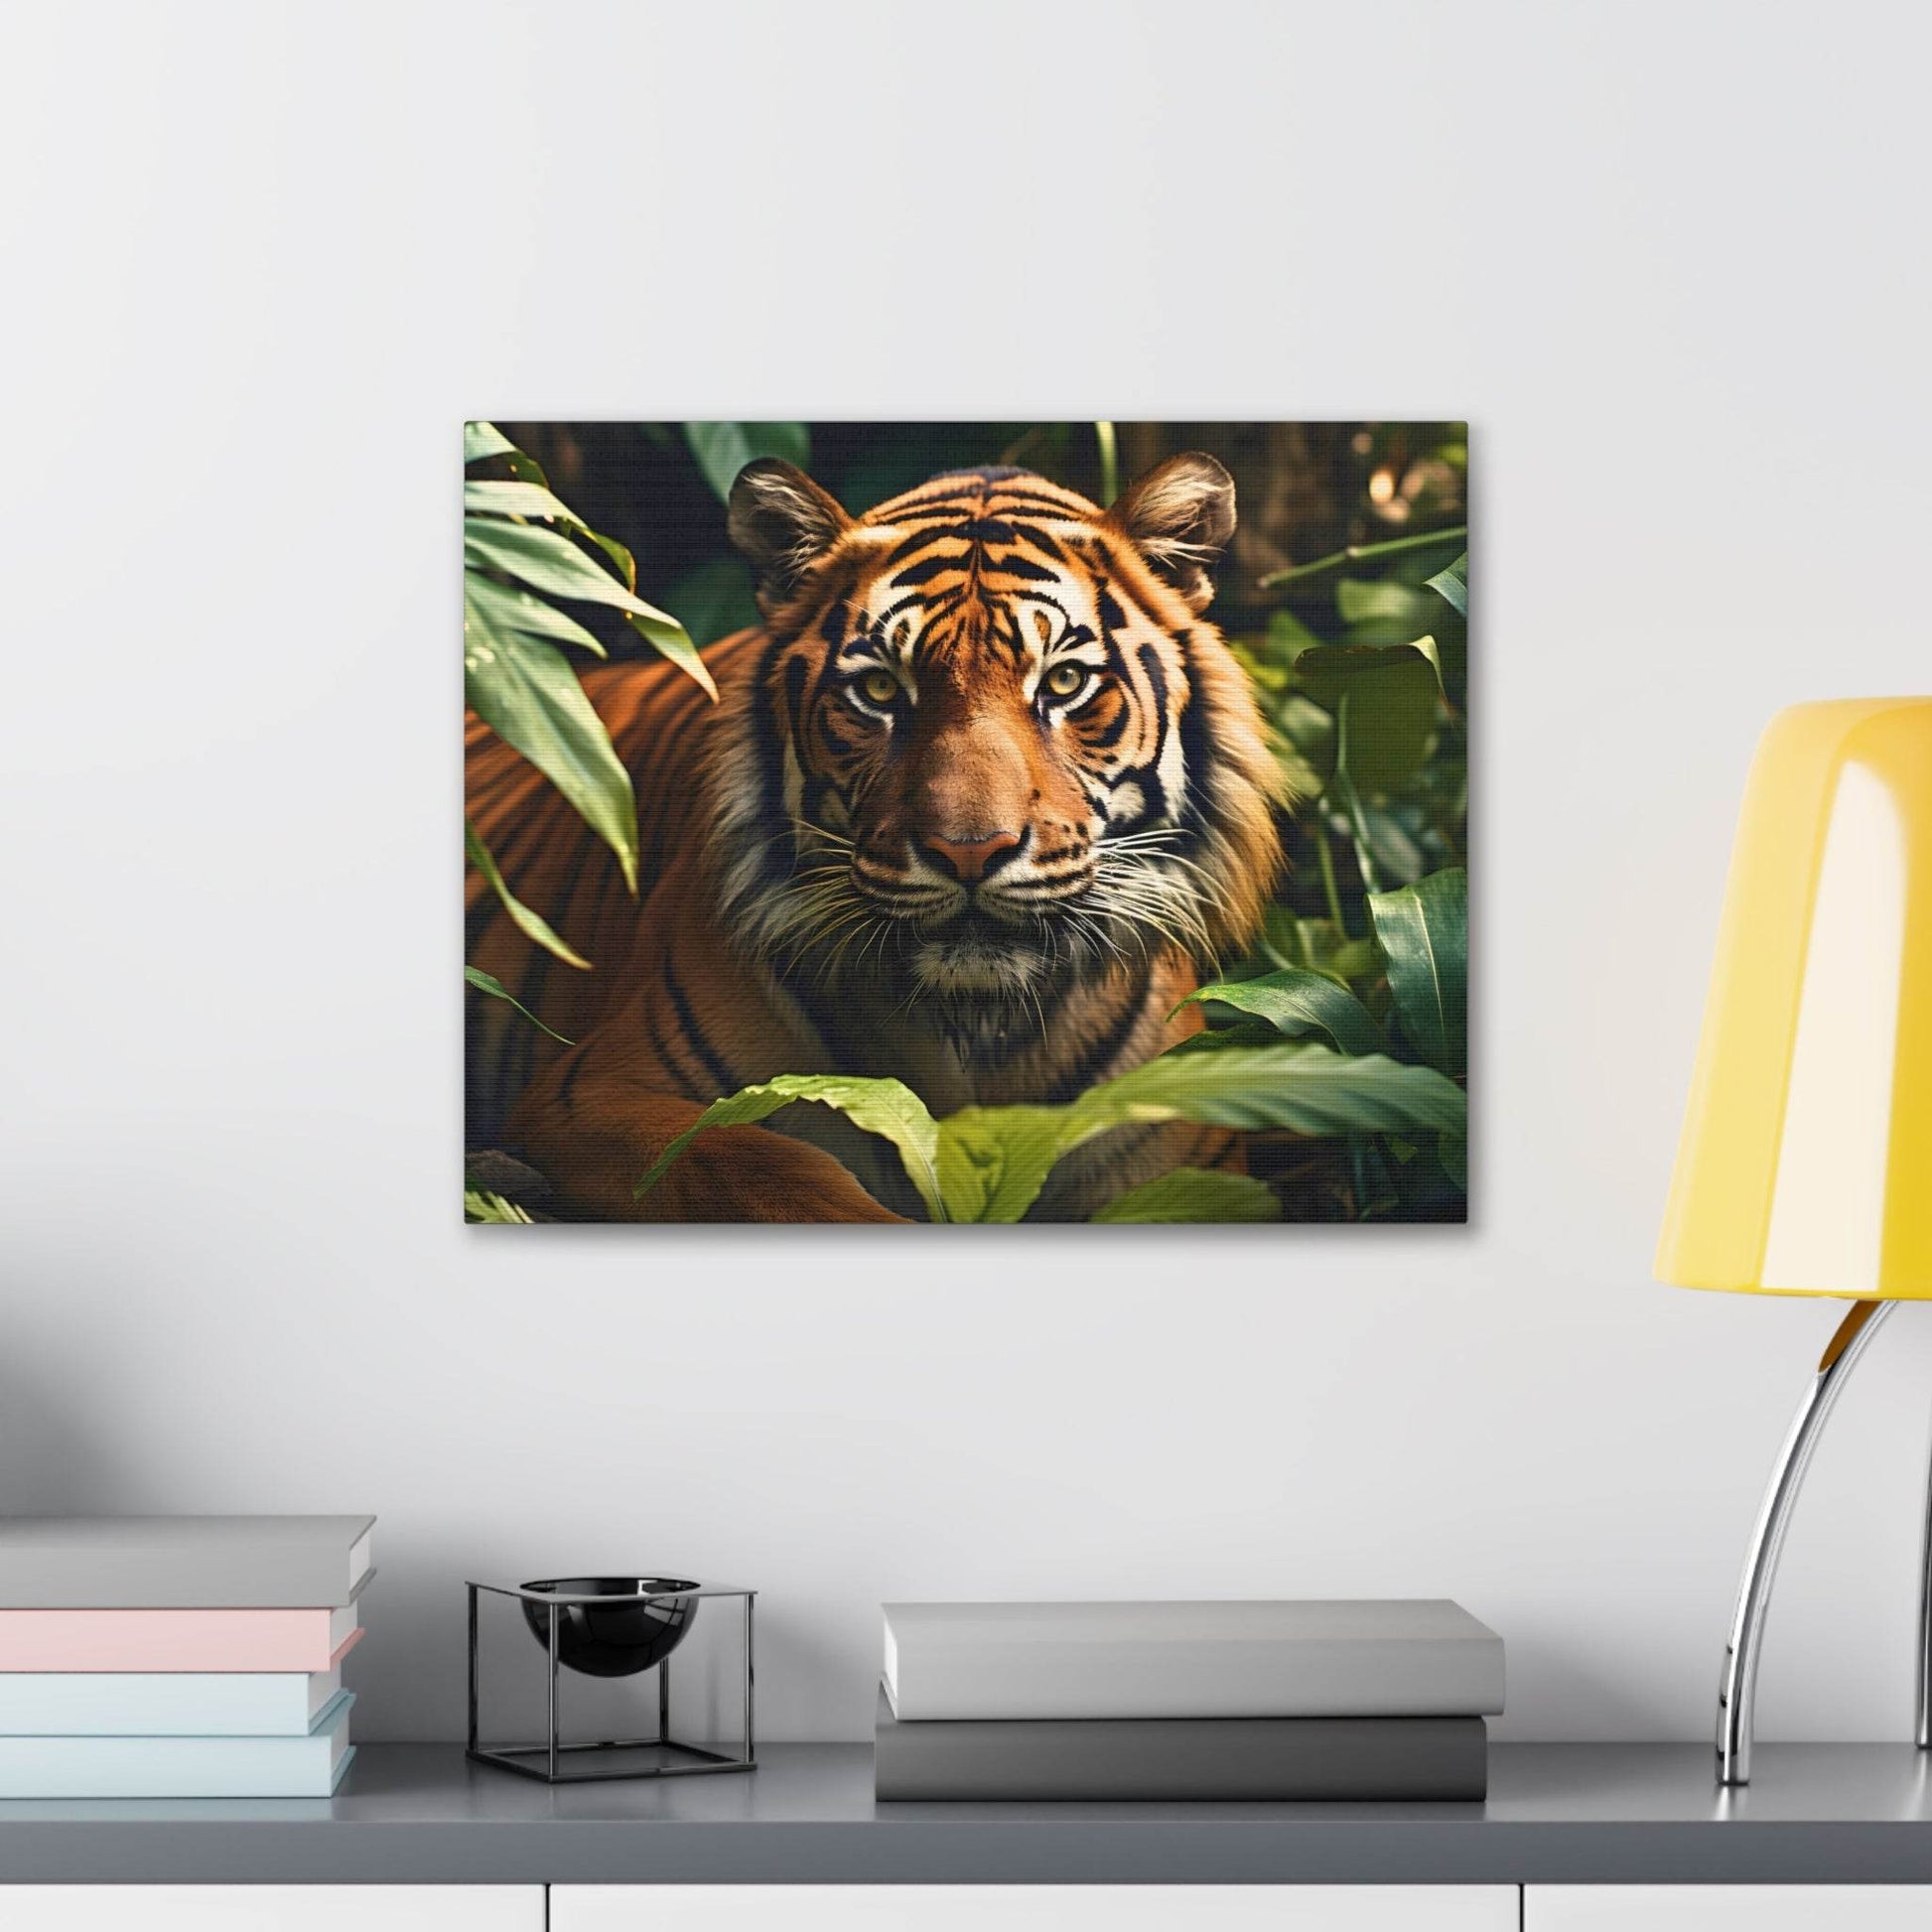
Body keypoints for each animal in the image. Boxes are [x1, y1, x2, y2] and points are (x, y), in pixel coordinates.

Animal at [465, 452, 1290, 1222]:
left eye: (1063, 684)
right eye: (881, 690)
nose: (968, 851)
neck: (975, 1029)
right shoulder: (591, 1093)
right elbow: (759, 1164)